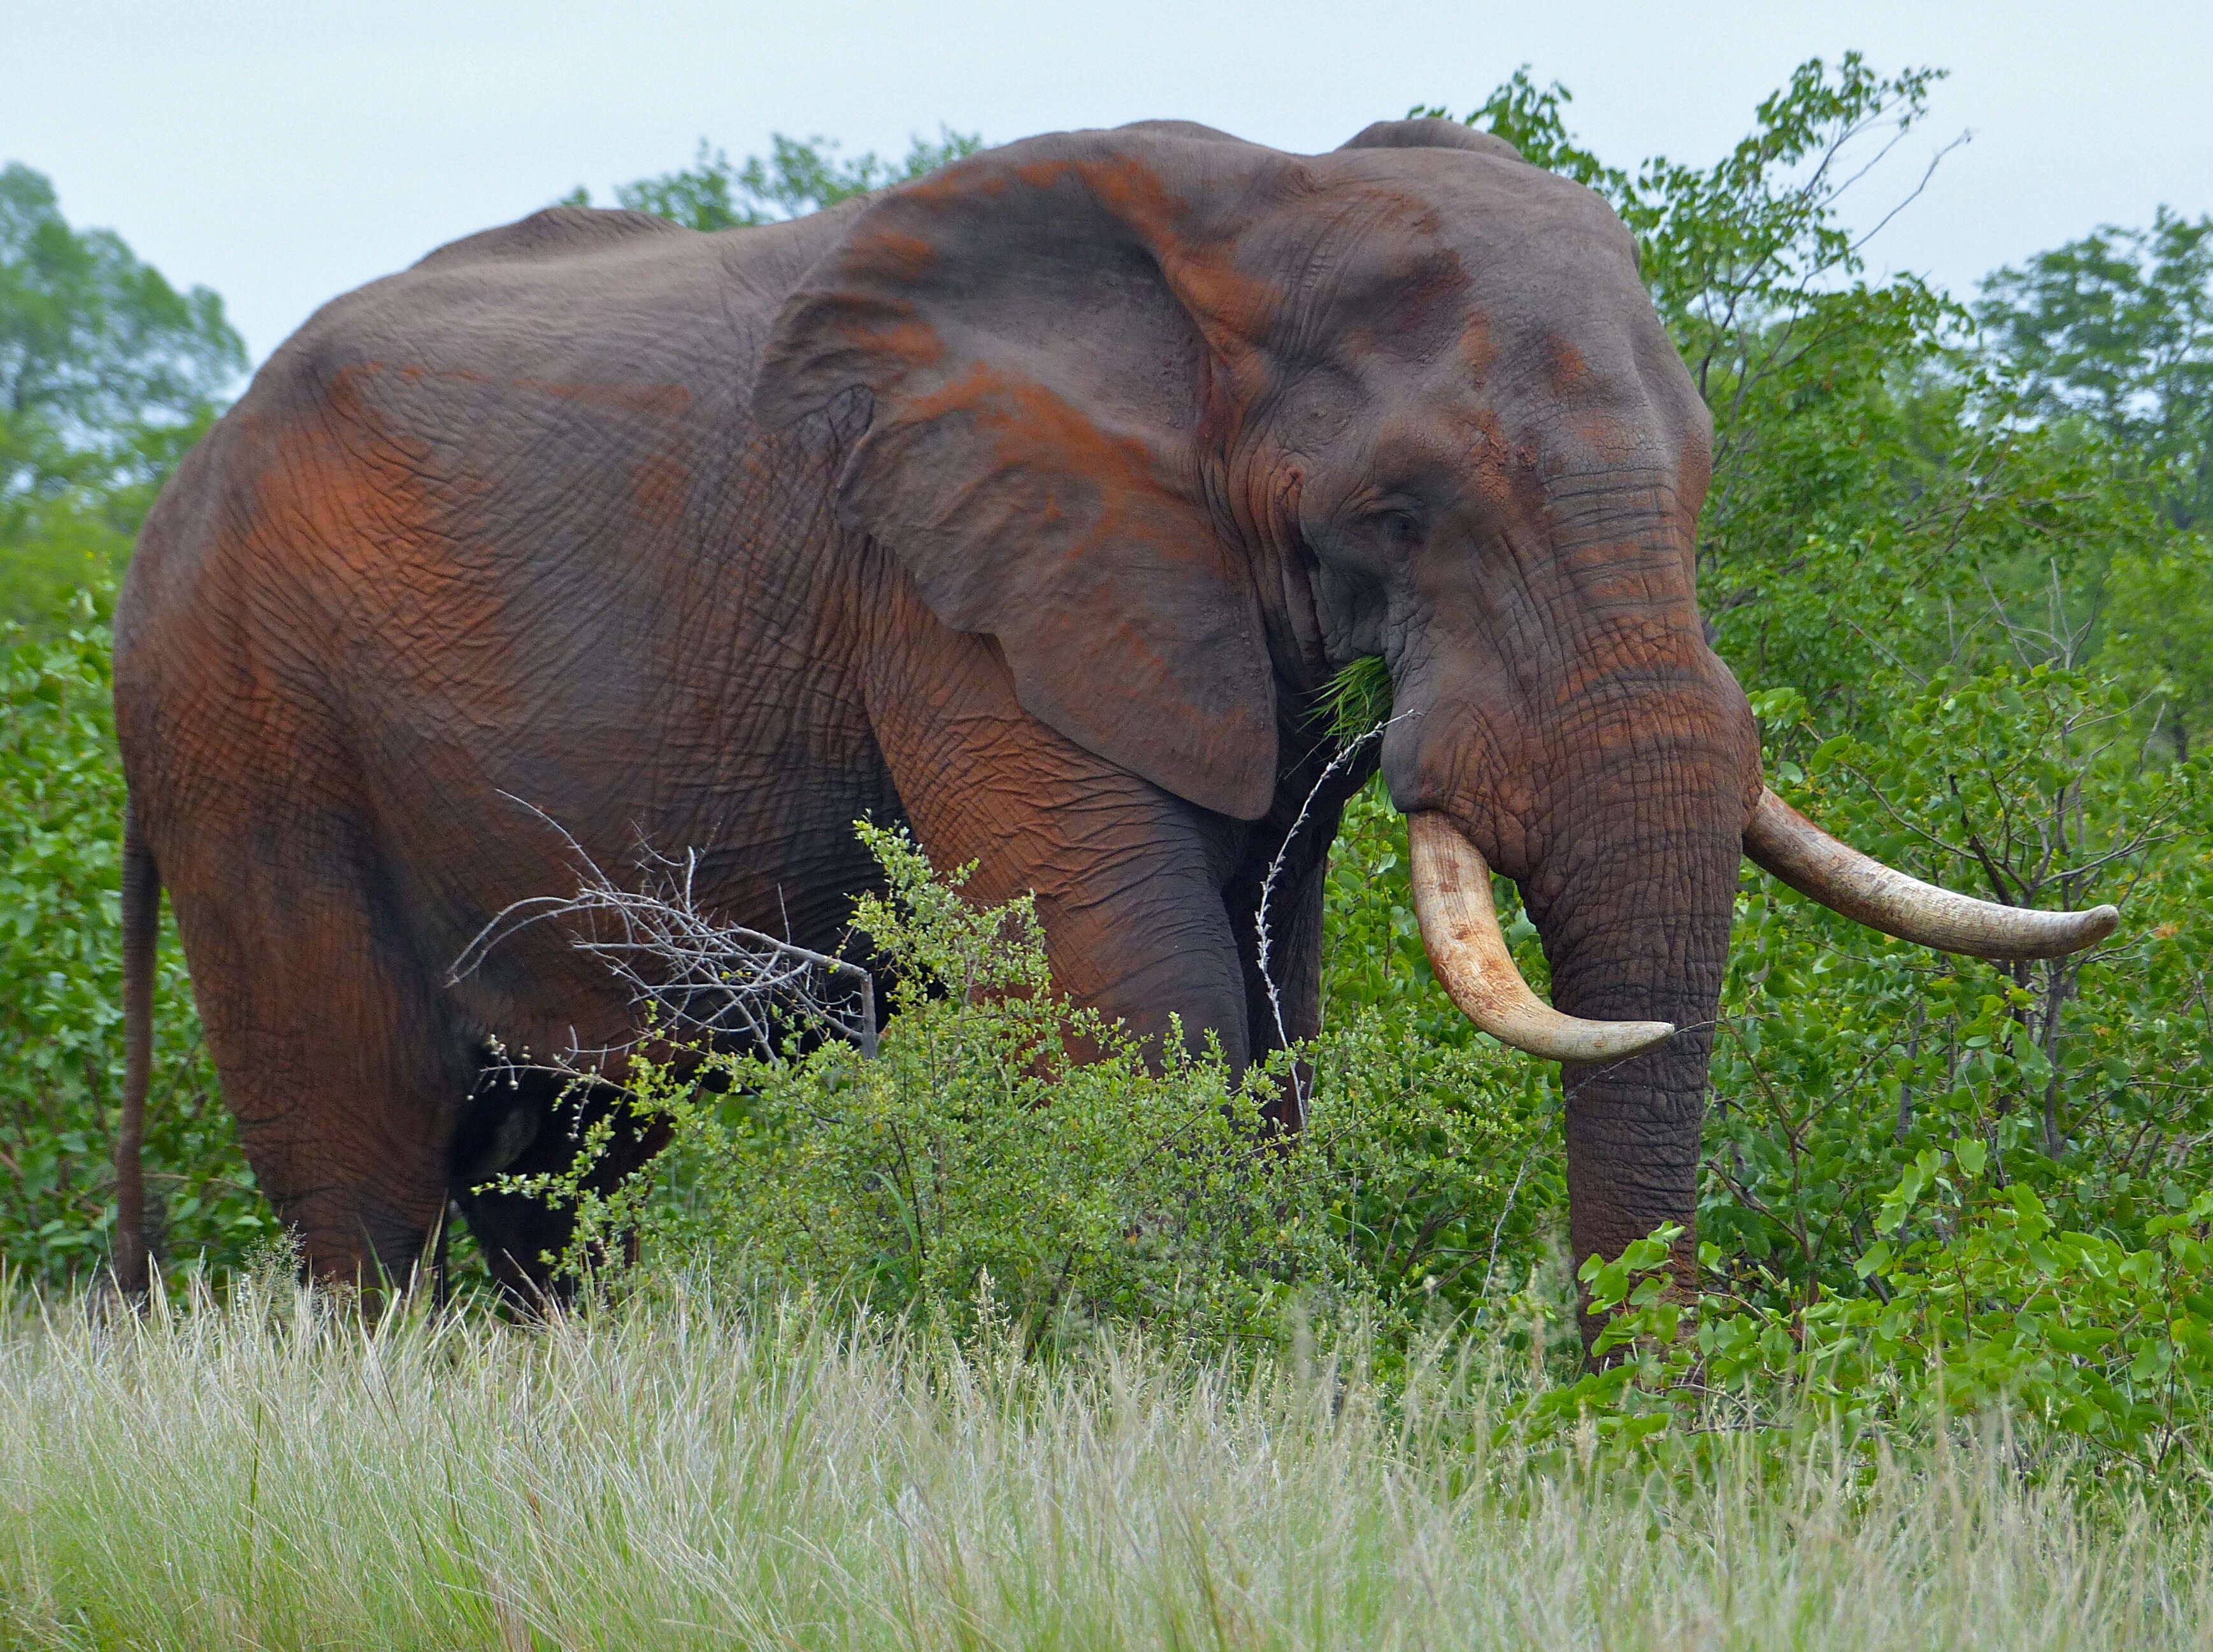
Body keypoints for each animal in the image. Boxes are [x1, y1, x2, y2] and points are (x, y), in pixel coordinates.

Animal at [108, 116, 2107, 1318]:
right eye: (1400, 515)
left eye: (1700, 494)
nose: (1636, 1431)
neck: (1250, 222)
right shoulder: (939, 578)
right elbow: (1141, 986)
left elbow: (1276, 1013)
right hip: (248, 740)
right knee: (366, 1164)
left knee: (548, 1174)